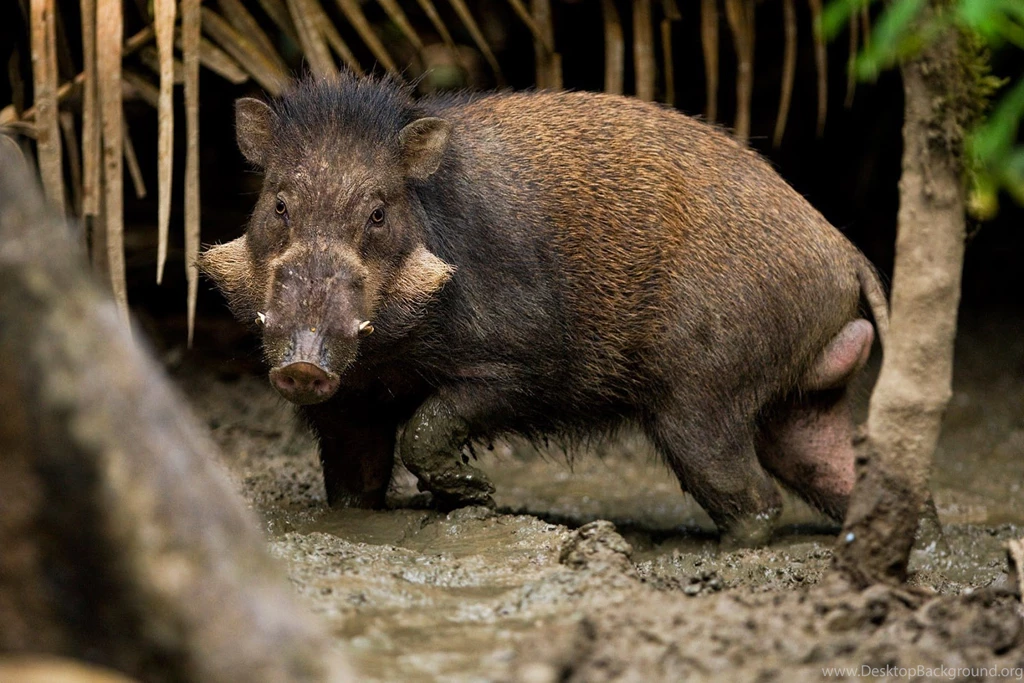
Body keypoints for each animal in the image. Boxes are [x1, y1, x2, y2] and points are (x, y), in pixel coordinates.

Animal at [200, 73, 889, 547]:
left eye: (377, 212)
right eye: (278, 204)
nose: (303, 366)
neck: (391, 357)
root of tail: (844, 254)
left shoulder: (526, 365)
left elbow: (426, 427)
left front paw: (479, 497)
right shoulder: (349, 402)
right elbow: (353, 485)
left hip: (703, 393)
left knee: (754, 497)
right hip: (798, 402)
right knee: (832, 469)